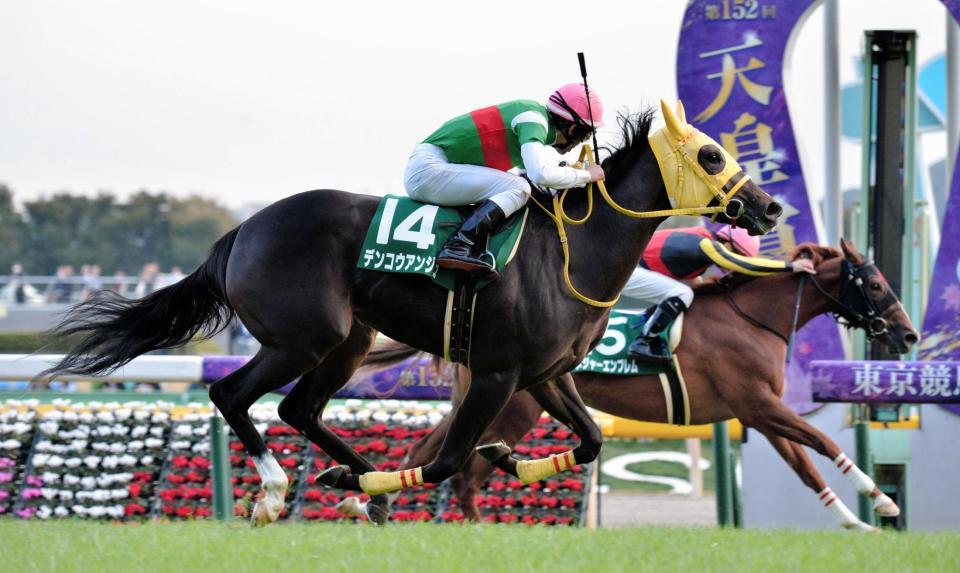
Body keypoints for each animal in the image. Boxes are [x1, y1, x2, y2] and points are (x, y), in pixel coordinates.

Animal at [42, 100, 782, 526]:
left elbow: (592, 439)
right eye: (710, 153)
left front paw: (509, 462)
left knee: (297, 408)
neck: (575, 252)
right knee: (232, 394)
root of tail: (243, 230)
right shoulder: (496, 374)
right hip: (302, 339)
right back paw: (278, 490)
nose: (769, 207)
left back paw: (353, 481)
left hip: (346, 341)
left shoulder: (546, 374)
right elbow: (448, 459)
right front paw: (398, 479)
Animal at [343, 240, 919, 531]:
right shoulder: (758, 404)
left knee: (437, 453)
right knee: (462, 469)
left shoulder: (757, 412)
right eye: (873, 283)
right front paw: (882, 505)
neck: (753, 318)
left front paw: (858, 522)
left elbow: (806, 467)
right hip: (512, 407)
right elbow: (820, 441)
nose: (908, 333)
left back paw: (378, 505)